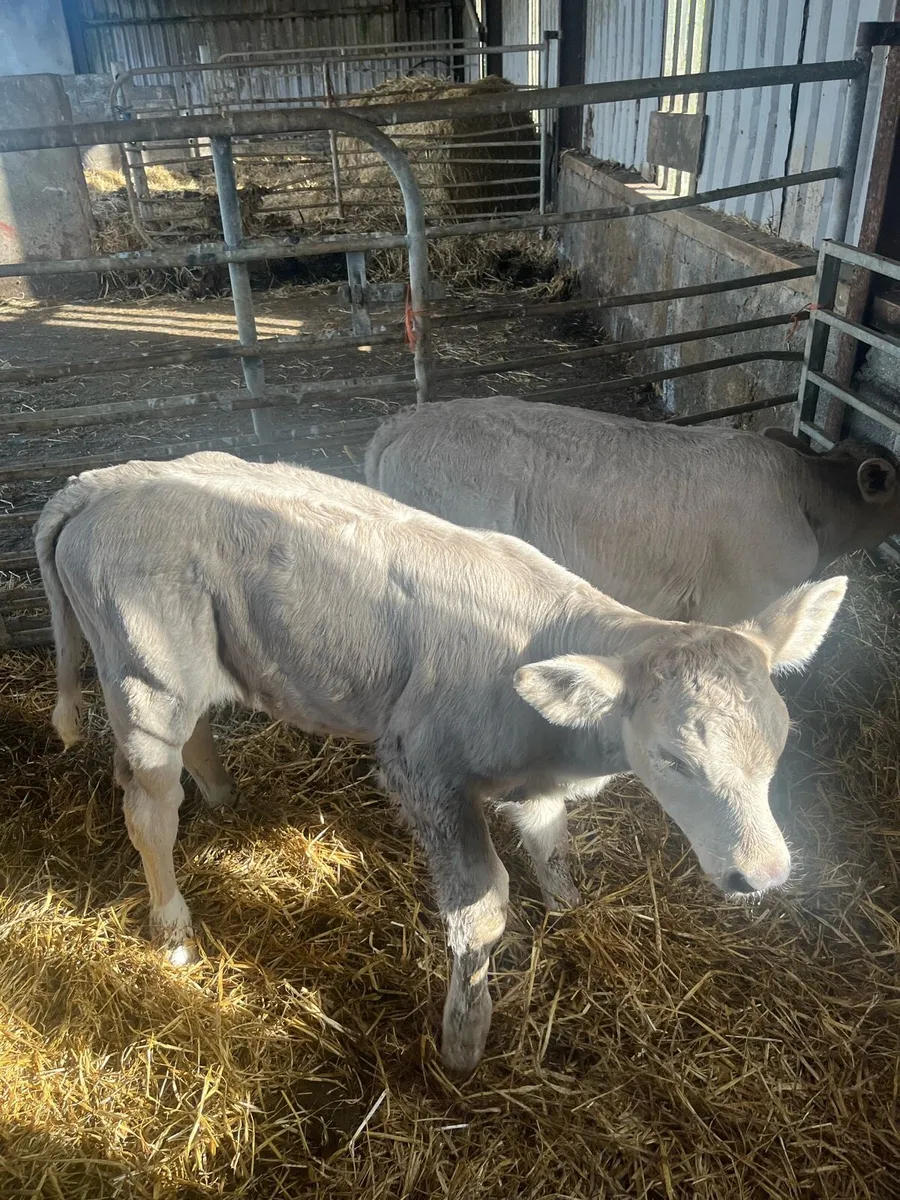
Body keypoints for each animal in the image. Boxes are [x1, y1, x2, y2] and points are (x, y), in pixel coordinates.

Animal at [35, 451, 846, 1074]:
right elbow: (481, 912)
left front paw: (570, 907)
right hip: (148, 677)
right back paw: (173, 926)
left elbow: (550, 843)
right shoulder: (425, 772)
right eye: (672, 758)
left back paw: (223, 794)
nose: (764, 874)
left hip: (183, 666)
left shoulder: (535, 783)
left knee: (193, 740)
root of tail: (102, 482)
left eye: (780, 740)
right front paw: (464, 1039)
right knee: (148, 806)